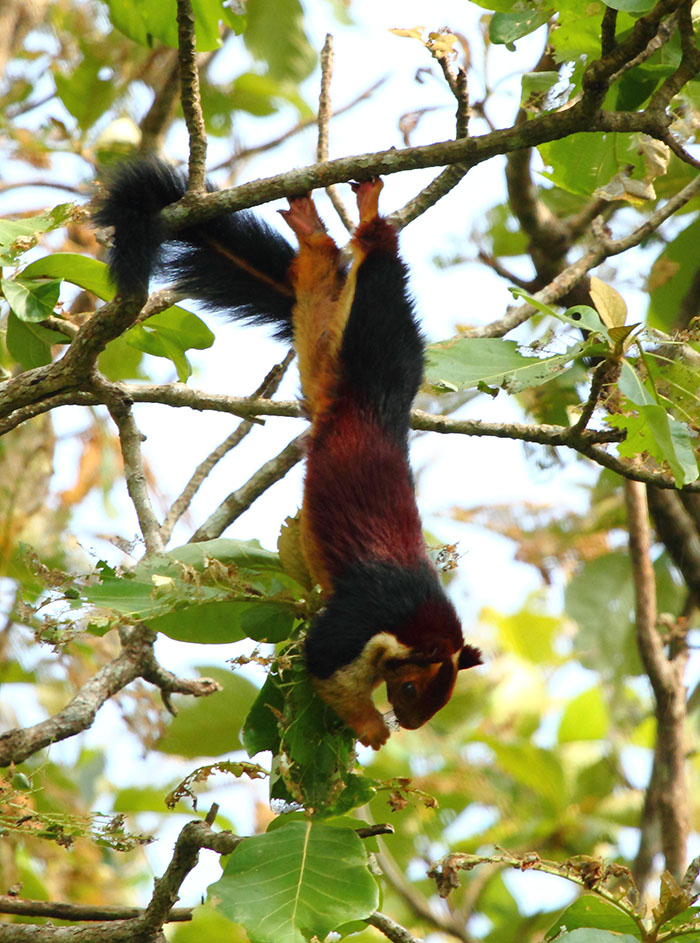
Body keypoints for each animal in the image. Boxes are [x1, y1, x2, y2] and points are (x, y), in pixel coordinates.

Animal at [94, 159, 482, 749]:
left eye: (443, 699)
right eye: (413, 687)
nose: (412, 722)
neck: (417, 617)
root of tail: (376, 403)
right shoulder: (358, 619)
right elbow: (321, 661)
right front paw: (371, 730)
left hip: (351, 355)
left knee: (318, 290)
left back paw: (317, 231)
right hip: (366, 339)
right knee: (373, 268)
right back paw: (366, 222)